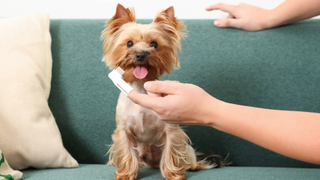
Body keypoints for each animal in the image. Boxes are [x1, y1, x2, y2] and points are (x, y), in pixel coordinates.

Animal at [101, 3, 224, 180]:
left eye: (154, 44)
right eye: (129, 43)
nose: (141, 54)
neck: (140, 86)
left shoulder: (171, 129)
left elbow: (171, 151)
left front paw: (173, 174)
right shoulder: (123, 130)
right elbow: (127, 153)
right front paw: (126, 174)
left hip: (187, 150)